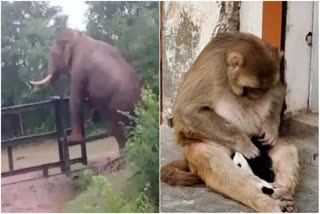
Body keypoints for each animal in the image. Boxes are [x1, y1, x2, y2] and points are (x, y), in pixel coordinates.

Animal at [161, 32, 298, 212]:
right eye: (253, 88)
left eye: (262, 89)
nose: (257, 94)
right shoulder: (212, 70)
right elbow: (186, 110)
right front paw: (243, 142)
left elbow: (278, 90)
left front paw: (270, 129)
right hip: (204, 146)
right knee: (219, 166)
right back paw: (266, 202)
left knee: (285, 149)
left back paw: (282, 192)